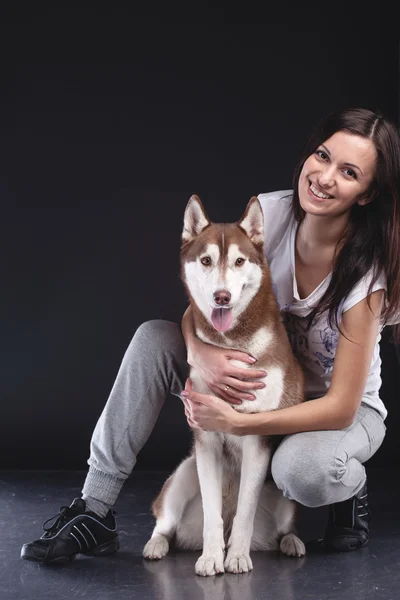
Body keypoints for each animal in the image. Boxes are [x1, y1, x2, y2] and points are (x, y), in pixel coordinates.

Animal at [144, 195, 306, 576]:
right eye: (206, 260)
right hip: (182, 476)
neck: (231, 343)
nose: (221, 296)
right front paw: (211, 556)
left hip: (283, 499)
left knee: (283, 526)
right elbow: (211, 514)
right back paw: (156, 544)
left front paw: (236, 556)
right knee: (166, 522)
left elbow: (245, 511)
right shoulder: (206, 438)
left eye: (239, 261)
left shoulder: (258, 437)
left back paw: (290, 542)